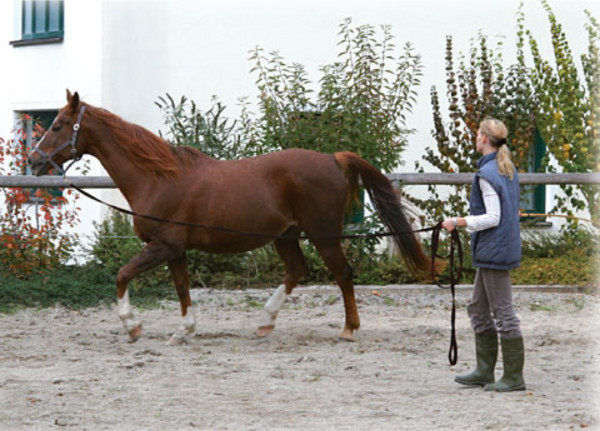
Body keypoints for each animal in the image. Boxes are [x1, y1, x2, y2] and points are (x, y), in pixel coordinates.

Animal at [29, 90, 432, 344]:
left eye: (58, 125)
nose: (34, 161)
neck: (157, 177)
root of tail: (333, 158)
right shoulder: (175, 250)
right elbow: (182, 289)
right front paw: (184, 332)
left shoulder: (163, 246)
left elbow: (122, 275)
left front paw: (132, 327)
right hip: (286, 235)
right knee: (296, 270)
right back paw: (265, 323)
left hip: (324, 236)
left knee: (343, 275)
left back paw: (348, 330)